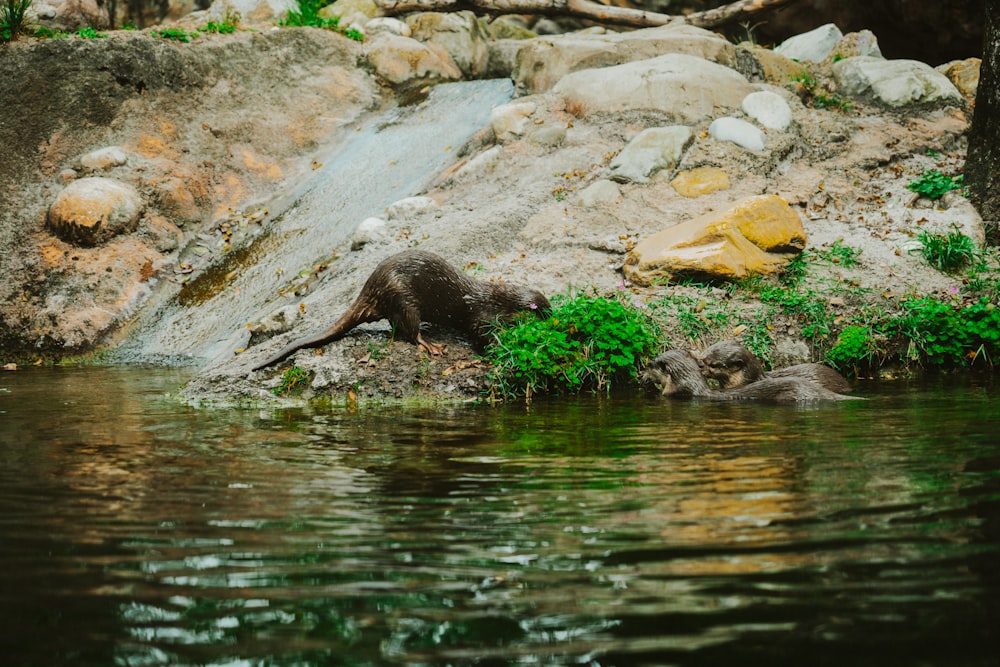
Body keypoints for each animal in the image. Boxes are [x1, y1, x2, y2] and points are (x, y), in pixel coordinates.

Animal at [248, 249, 548, 374]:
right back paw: (431, 344)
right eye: (542, 313)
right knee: (408, 332)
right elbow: (482, 336)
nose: (553, 316)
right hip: (403, 298)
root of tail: (372, 287)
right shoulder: (481, 316)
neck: (496, 301)